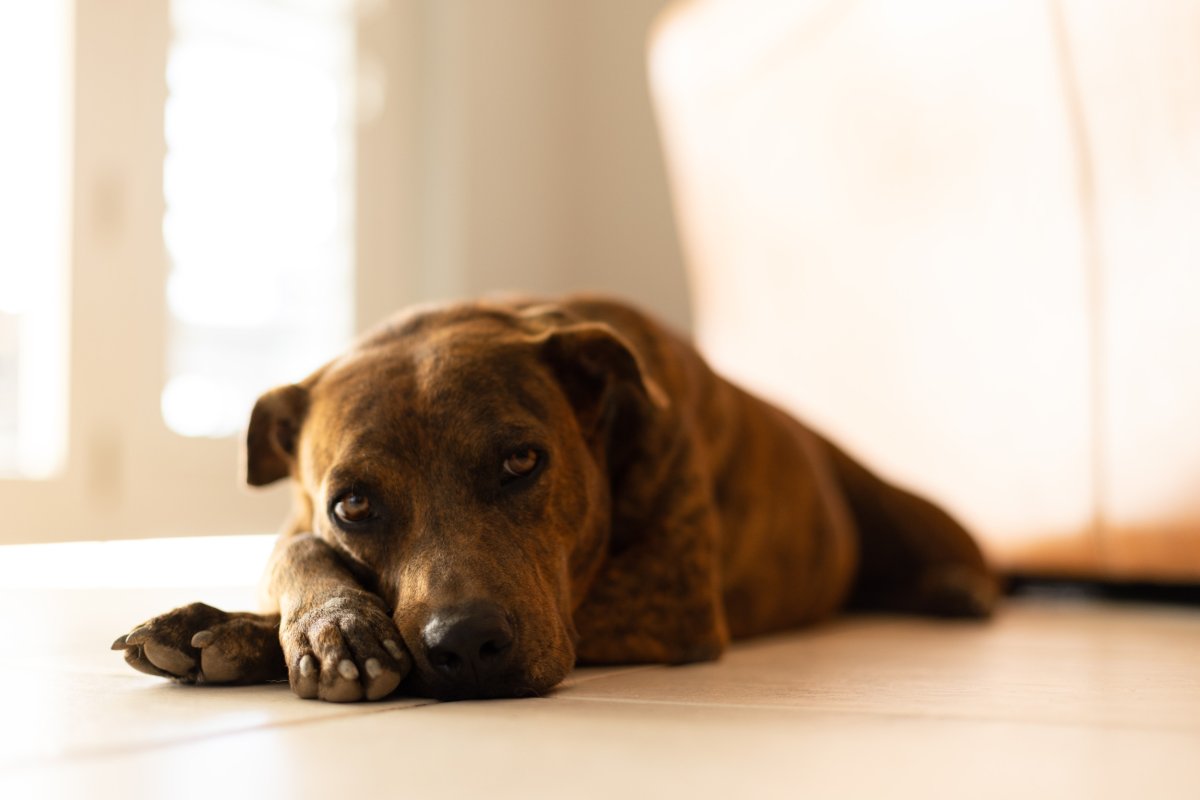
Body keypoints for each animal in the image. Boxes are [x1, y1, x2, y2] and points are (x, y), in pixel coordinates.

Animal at [112, 296, 998, 700]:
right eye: (353, 507)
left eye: (521, 460)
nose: (466, 646)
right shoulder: (300, 516)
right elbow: (293, 549)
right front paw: (290, 626)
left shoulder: (658, 602)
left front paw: (282, 634)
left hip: (904, 508)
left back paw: (958, 589)